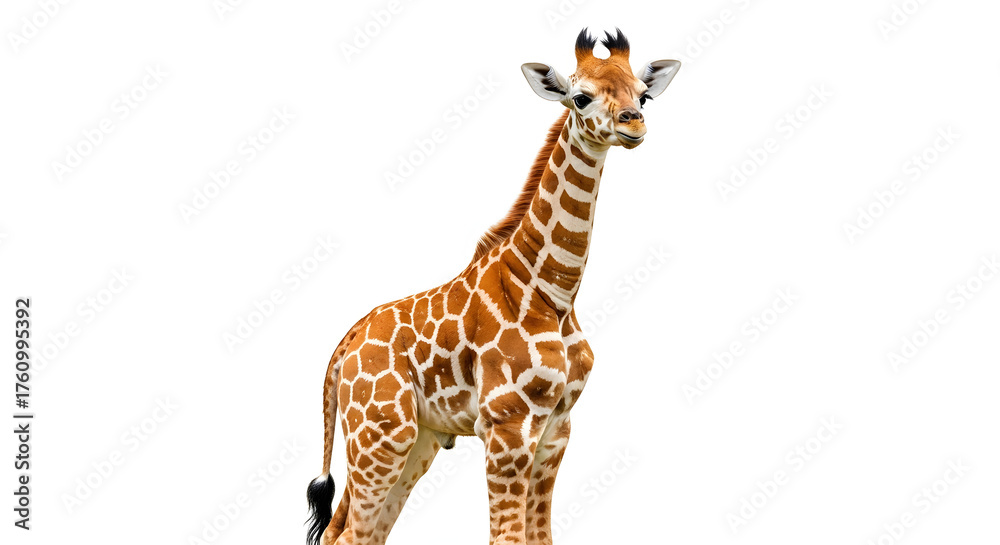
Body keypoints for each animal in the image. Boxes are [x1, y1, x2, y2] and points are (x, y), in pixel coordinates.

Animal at [306, 28, 680, 545]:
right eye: (580, 96)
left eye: (643, 95)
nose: (634, 124)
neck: (555, 292)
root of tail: (344, 345)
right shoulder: (507, 426)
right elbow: (507, 537)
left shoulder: (556, 430)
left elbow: (541, 537)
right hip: (380, 434)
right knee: (350, 534)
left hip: (415, 440)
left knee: (354, 531)